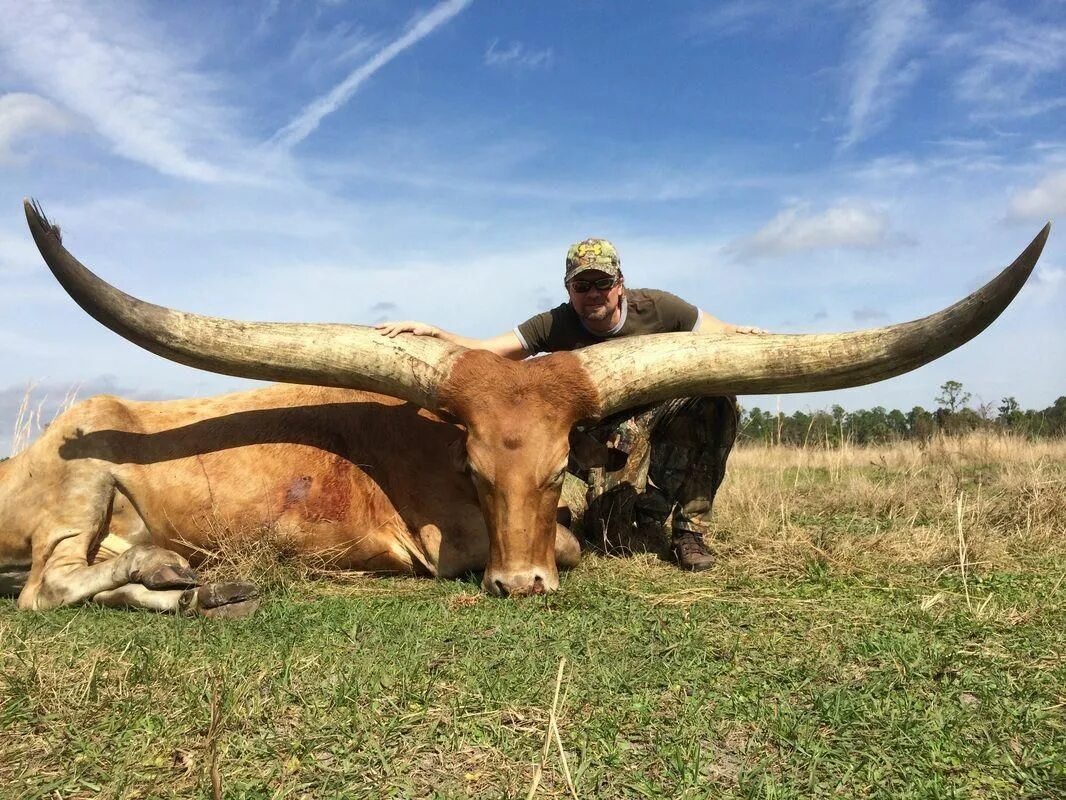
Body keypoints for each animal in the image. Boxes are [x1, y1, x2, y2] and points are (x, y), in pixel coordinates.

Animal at [0, 203, 1048, 618]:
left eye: (555, 471)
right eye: (471, 470)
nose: (517, 587)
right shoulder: (440, 537)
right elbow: (569, 545)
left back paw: (195, 582)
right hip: (81, 465)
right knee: (48, 585)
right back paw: (173, 569)